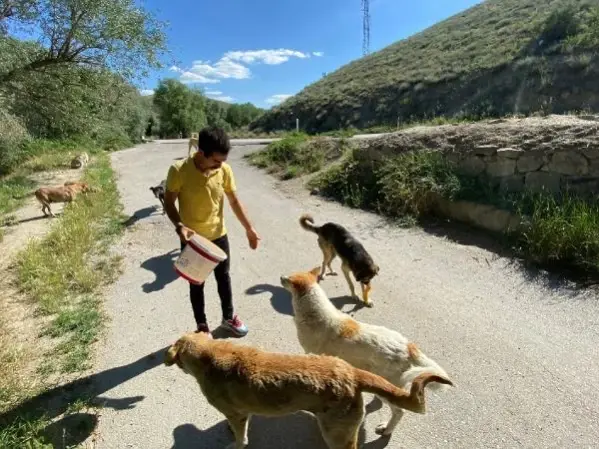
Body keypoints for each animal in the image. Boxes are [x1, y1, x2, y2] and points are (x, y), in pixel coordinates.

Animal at [164, 328, 450, 448]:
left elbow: (240, 438)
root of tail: (351, 372)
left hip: (337, 435)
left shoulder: (236, 415)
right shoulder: (241, 412)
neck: (209, 353)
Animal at [282, 266, 454, 434]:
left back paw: (387, 429)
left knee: (399, 412)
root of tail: (409, 346)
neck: (316, 313)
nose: (281, 277)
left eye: (289, 278)